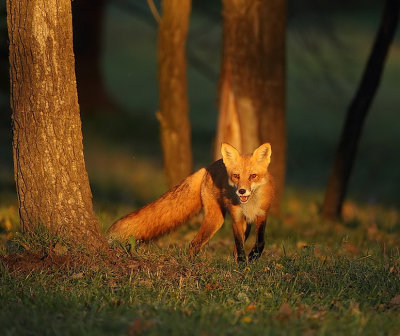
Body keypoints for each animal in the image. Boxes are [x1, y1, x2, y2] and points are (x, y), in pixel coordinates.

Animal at [108, 143, 274, 262]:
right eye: (236, 176)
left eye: (253, 176)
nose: (242, 191)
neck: (250, 205)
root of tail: (208, 166)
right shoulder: (237, 219)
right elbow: (240, 247)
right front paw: (243, 265)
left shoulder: (262, 215)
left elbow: (260, 242)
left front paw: (252, 257)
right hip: (216, 219)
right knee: (194, 244)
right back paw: (191, 265)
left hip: (236, 223)